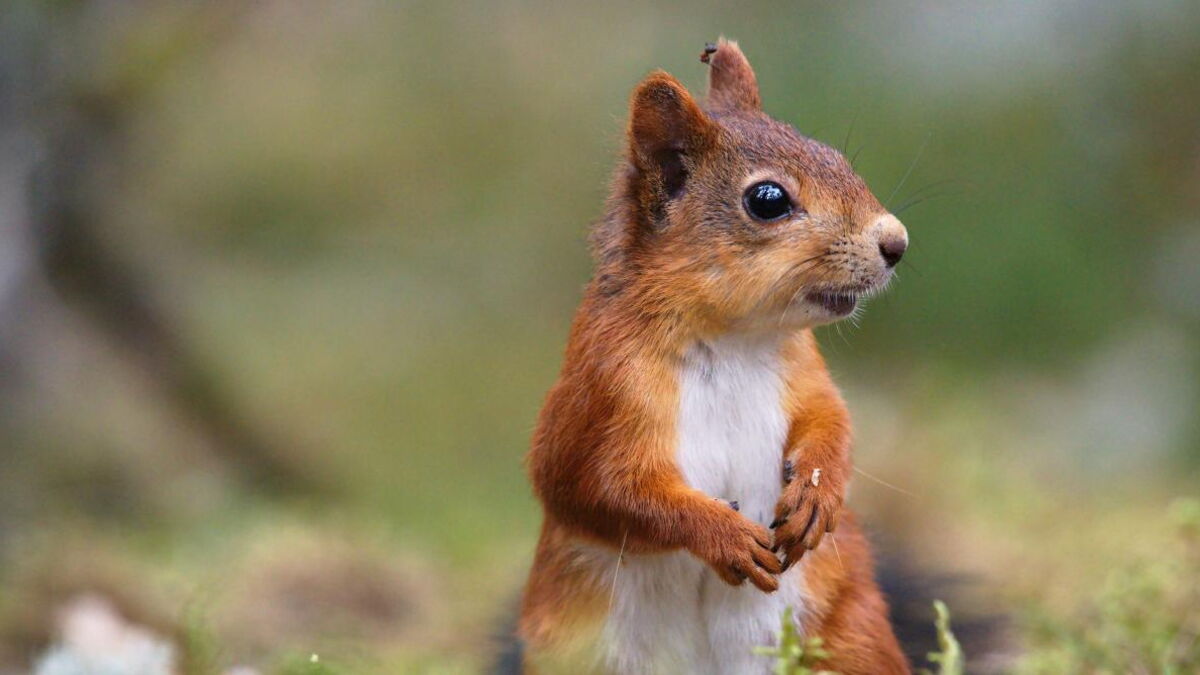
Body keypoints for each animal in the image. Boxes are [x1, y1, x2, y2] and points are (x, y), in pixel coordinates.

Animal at [516, 39, 911, 674]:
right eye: (767, 199)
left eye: (834, 154)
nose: (896, 242)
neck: (731, 341)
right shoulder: (600, 391)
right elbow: (601, 488)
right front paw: (721, 533)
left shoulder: (804, 372)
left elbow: (832, 421)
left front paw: (818, 494)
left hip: (849, 638)